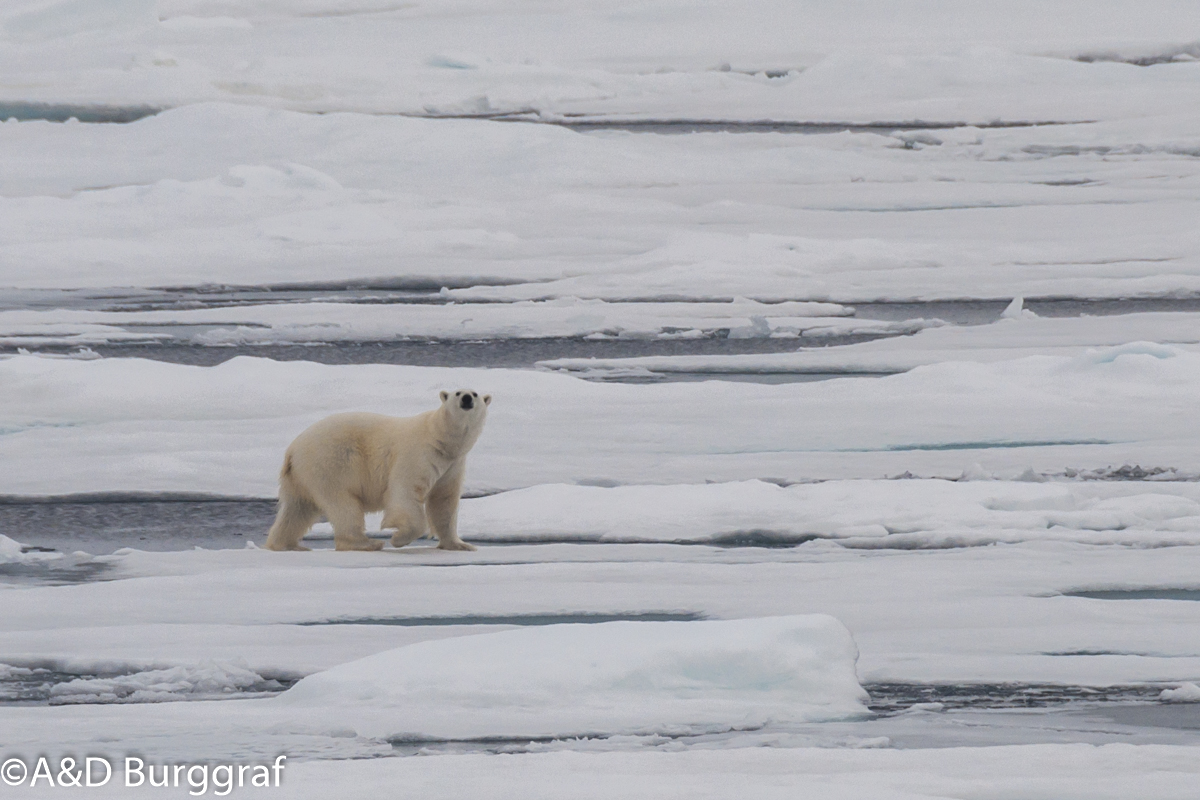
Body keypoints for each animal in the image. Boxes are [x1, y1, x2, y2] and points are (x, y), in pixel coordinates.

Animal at [262, 391, 487, 554]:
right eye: (458, 393)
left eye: (475, 393)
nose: (467, 399)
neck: (438, 436)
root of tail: (293, 449)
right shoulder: (418, 454)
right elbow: (404, 492)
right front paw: (397, 539)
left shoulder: (452, 465)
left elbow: (444, 501)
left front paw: (461, 544)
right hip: (330, 463)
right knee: (343, 505)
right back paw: (367, 543)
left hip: (301, 476)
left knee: (298, 509)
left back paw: (287, 544)